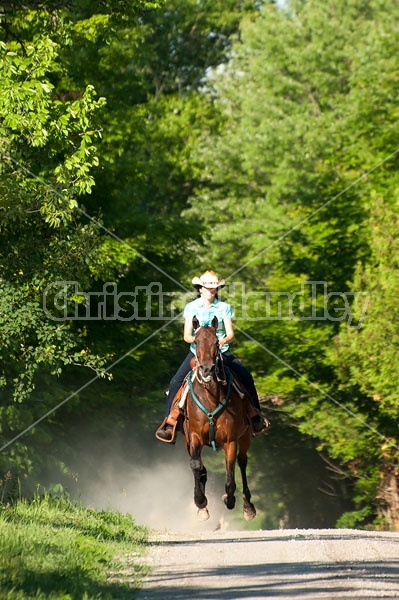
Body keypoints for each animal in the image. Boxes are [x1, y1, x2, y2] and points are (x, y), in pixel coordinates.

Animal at [184, 314, 258, 520]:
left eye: (217, 342)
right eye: (196, 341)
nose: (207, 369)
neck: (210, 398)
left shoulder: (230, 440)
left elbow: (230, 474)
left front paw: (229, 499)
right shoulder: (194, 436)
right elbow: (196, 464)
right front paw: (200, 502)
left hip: (245, 436)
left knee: (242, 461)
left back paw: (248, 506)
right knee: (200, 467)